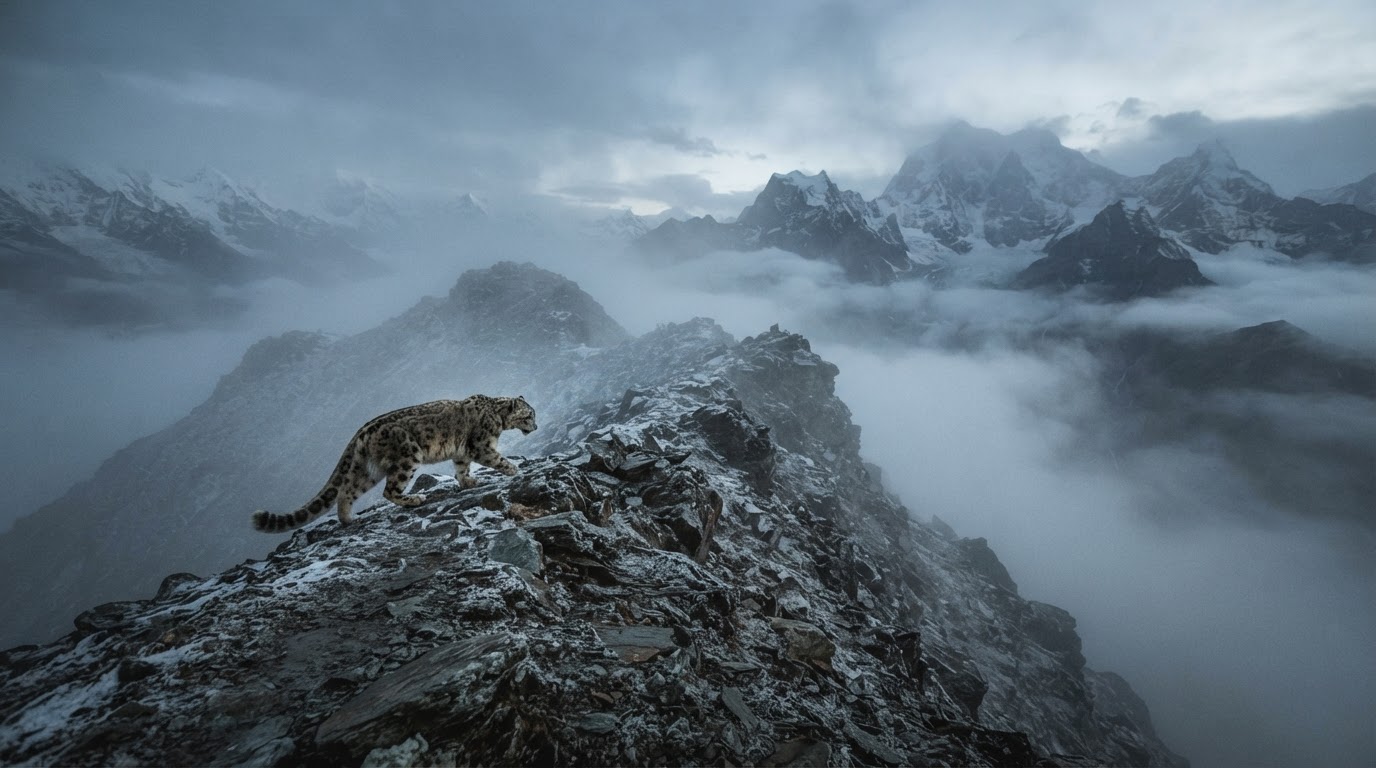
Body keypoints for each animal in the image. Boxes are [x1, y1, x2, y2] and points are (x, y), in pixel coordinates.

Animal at [251, 395, 537, 533]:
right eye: (529, 415)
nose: (535, 426)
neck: (497, 418)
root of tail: (361, 432)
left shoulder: (463, 452)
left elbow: (461, 467)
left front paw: (468, 482)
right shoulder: (481, 446)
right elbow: (496, 459)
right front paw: (514, 469)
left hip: (367, 470)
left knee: (347, 490)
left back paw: (348, 519)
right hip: (408, 457)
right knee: (389, 490)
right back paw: (415, 499)